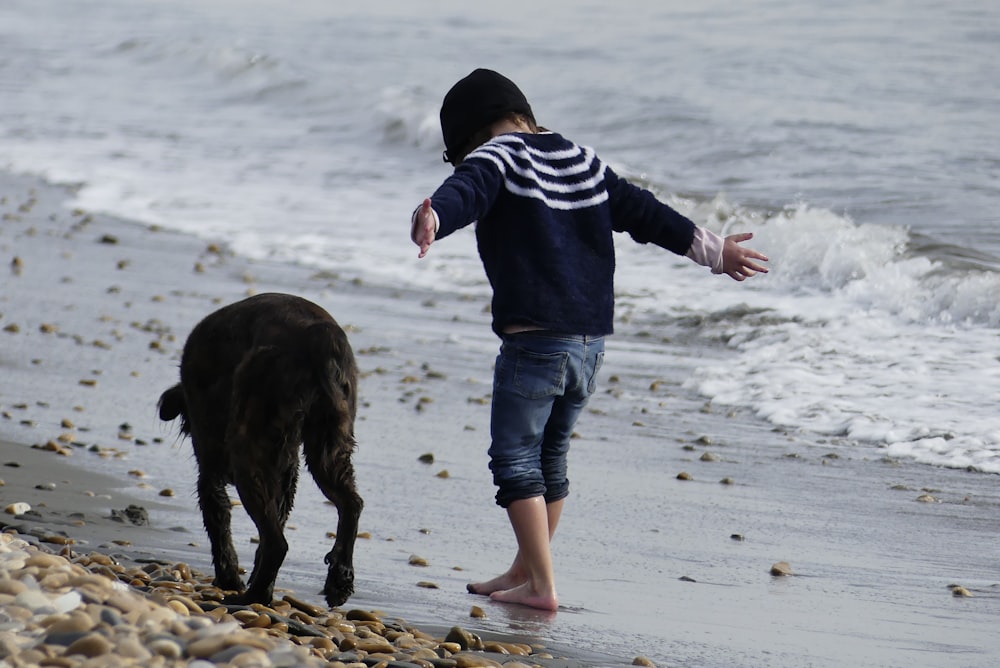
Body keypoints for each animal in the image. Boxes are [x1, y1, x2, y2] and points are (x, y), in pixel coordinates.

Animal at [156, 292, 360, 604]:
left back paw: (251, 596)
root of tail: (318, 335)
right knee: (351, 505)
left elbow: (219, 521)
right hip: (329, 449)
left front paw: (229, 578)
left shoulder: (210, 469)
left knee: (277, 543)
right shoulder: (287, 475)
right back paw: (339, 579)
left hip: (248, 455)